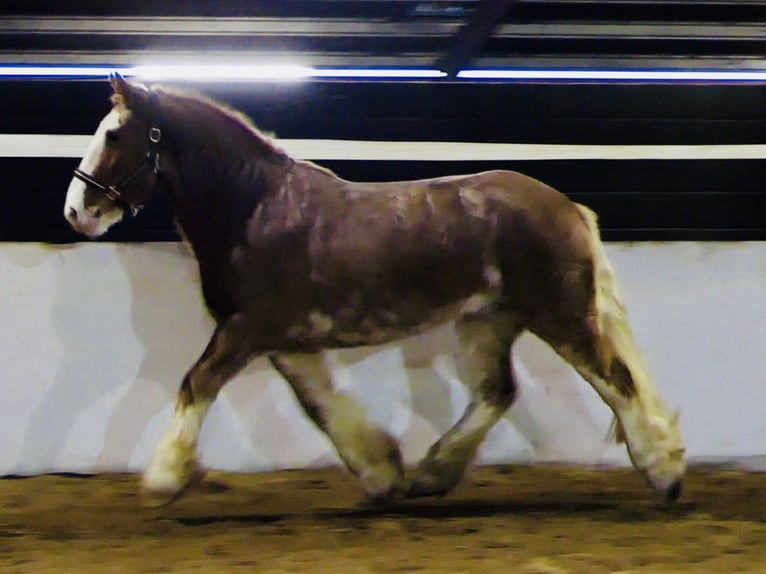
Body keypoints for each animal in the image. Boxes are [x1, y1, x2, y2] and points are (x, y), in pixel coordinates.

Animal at [64, 73, 685, 506]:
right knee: (498, 392)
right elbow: (321, 406)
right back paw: (431, 475)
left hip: (560, 314)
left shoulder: (246, 329)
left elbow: (196, 383)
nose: (76, 212)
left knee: (617, 380)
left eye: (113, 134)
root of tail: (567, 207)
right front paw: (382, 473)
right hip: (489, 319)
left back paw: (665, 474)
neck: (255, 209)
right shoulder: (285, 341)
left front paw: (165, 477)